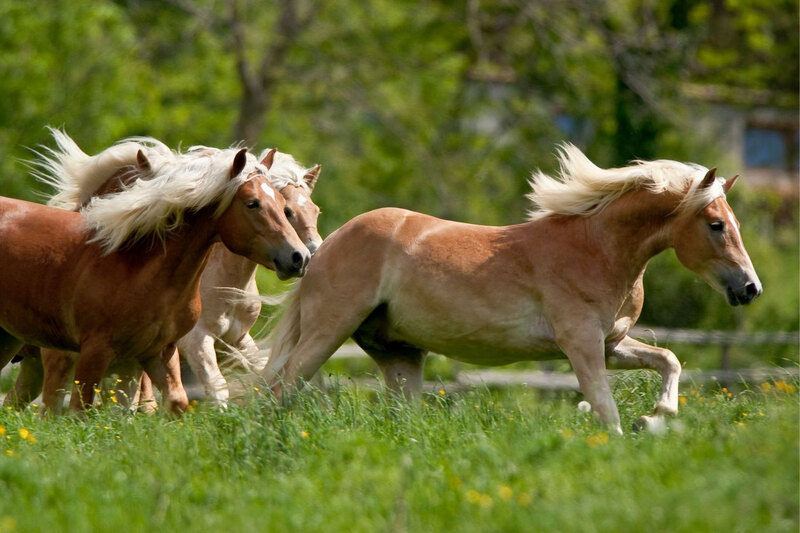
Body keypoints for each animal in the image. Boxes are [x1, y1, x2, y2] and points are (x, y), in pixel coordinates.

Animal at [4, 131, 323, 411]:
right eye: (285, 209)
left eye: (313, 210)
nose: (304, 256)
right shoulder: (194, 341)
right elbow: (216, 387)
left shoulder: (235, 341)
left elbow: (264, 373)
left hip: (31, 363)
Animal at [262, 145, 762, 434]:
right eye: (716, 225)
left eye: (735, 222)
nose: (750, 288)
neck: (596, 248)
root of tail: (322, 247)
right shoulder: (581, 344)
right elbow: (605, 409)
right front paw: (630, 432)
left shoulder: (610, 344)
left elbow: (669, 360)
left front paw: (655, 418)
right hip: (330, 329)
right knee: (280, 387)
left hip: (399, 353)